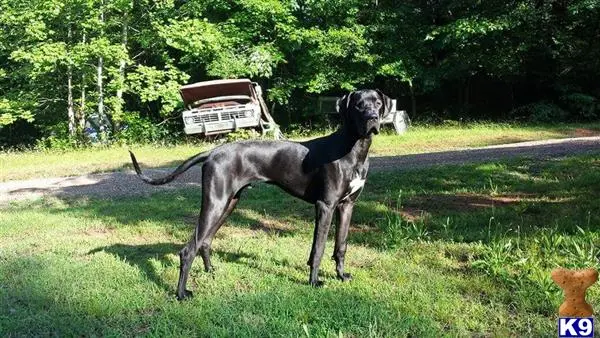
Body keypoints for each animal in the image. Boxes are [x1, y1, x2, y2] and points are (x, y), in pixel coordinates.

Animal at [130, 89, 394, 298]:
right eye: (358, 104)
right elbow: (318, 248)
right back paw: (181, 293)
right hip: (215, 202)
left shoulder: (347, 206)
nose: (372, 118)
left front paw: (341, 275)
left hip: (229, 203)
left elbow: (341, 245)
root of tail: (213, 152)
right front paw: (314, 281)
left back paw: (211, 271)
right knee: (187, 250)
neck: (354, 149)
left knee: (204, 241)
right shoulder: (325, 206)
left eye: (377, 103)